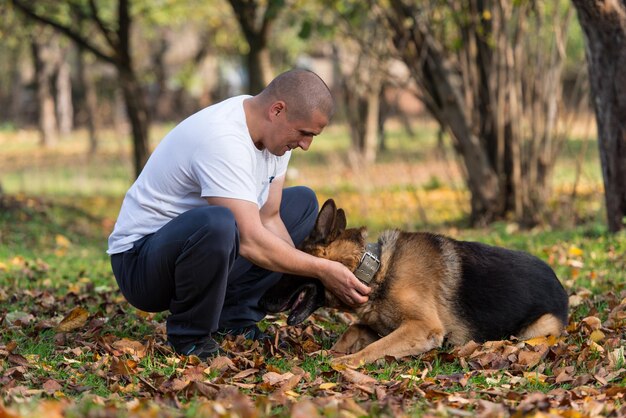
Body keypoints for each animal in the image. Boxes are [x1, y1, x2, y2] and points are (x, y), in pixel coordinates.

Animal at [258, 199, 564, 366]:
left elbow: (374, 348)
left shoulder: (422, 327)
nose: (260, 302)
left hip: (538, 327)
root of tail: (558, 281)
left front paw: (345, 361)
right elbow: (353, 330)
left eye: (287, 269)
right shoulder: (380, 324)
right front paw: (329, 351)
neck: (376, 270)